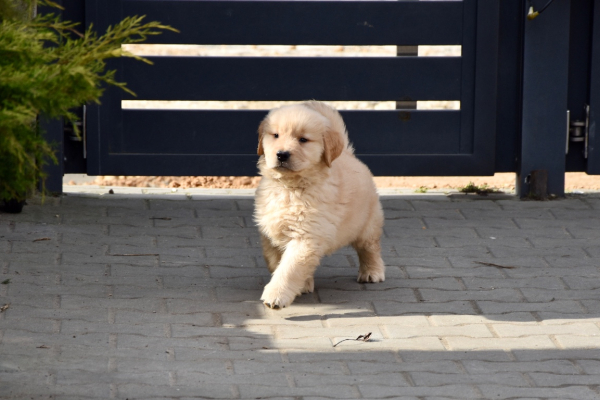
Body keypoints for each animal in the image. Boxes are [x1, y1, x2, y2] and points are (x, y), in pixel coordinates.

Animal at [253, 101, 384, 310]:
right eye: (275, 135)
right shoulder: (270, 233)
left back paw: (372, 272)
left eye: (303, 140)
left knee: (370, 248)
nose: (282, 154)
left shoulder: (306, 237)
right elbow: (275, 262)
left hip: (367, 223)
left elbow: (288, 268)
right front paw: (303, 284)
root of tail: (347, 154)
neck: (291, 187)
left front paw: (276, 295)